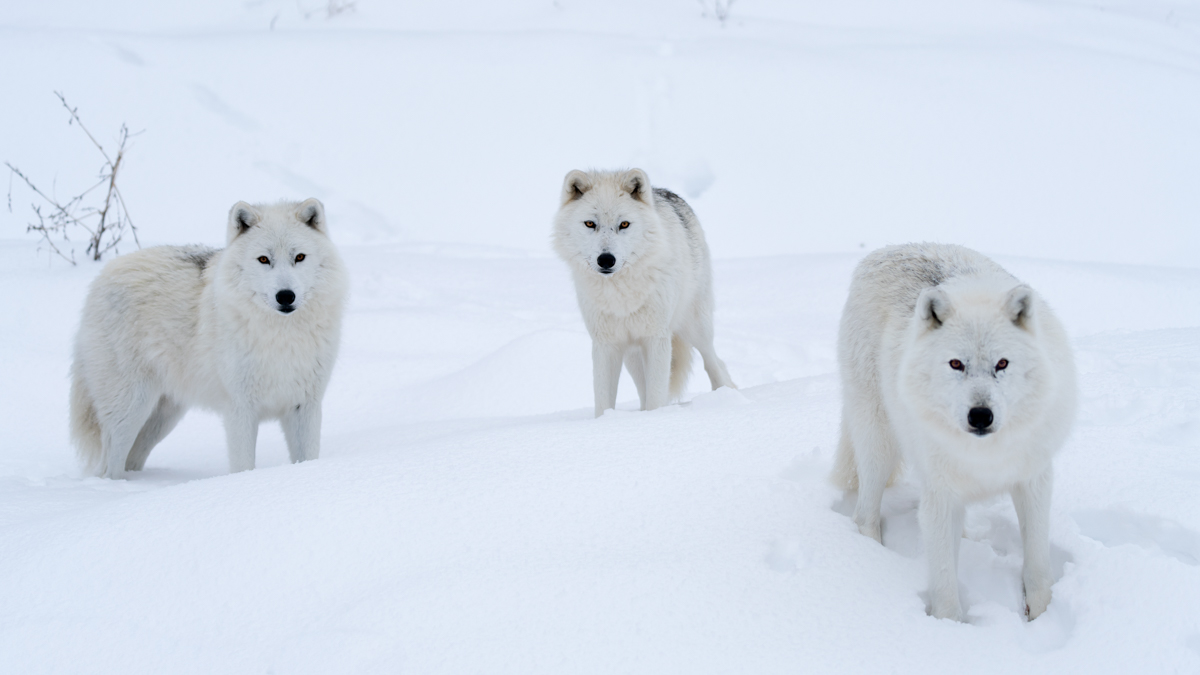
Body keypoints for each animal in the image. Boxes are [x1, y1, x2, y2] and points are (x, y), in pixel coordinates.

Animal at [72, 196, 348, 475]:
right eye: (263, 259)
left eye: (299, 257)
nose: (285, 296)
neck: (282, 337)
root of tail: (103, 275)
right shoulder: (240, 409)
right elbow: (243, 465)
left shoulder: (305, 406)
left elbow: (308, 458)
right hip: (130, 409)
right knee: (109, 467)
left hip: (162, 418)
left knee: (131, 460)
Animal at [549, 166, 729, 415]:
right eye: (590, 224)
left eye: (624, 224)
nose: (606, 260)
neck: (621, 295)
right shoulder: (606, 344)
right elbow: (603, 399)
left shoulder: (656, 338)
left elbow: (656, 395)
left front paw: (653, 418)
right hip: (632, 355)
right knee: (643, 391)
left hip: (695, 328)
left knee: (715, 362)